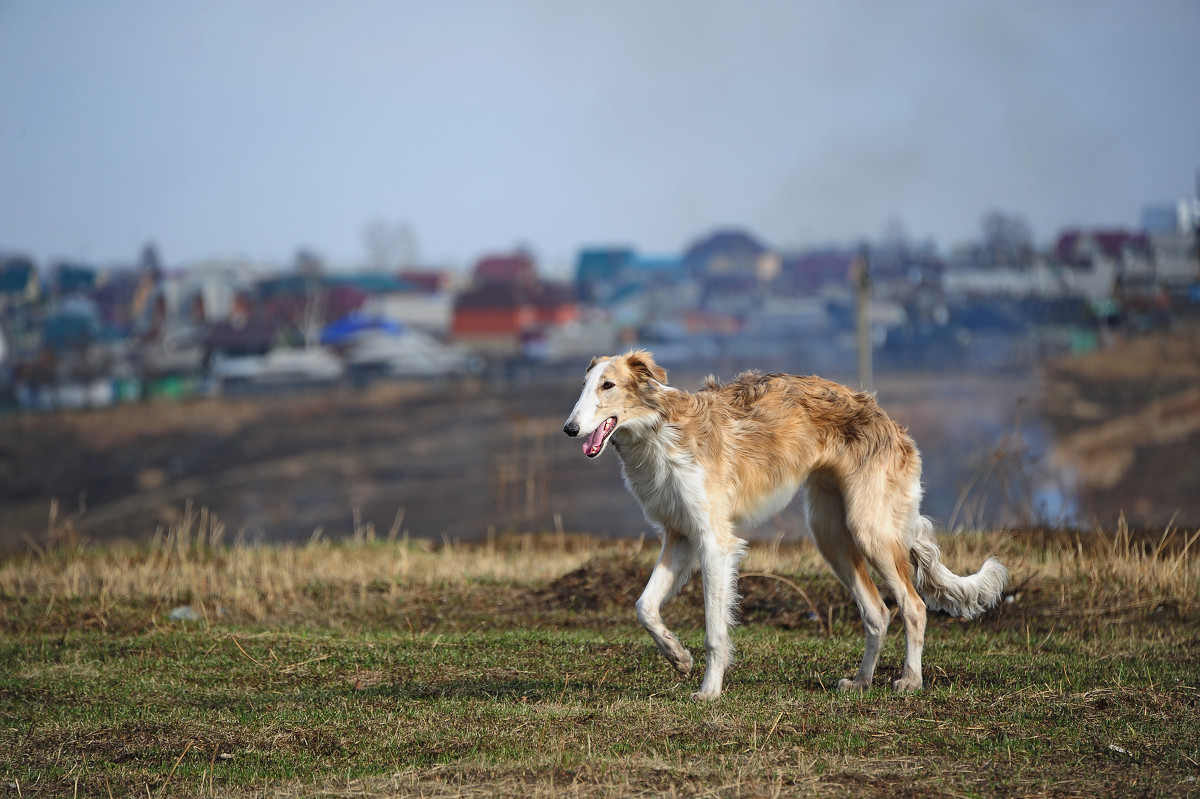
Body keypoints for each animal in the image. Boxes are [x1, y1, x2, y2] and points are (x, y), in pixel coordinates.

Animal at [559, 347, 1003, 695]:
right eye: (582, 385)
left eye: (608, 386)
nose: (569, 428)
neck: (659, 432)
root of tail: (890, 422)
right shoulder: (679, 536)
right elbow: (644, 607)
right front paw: (678, 656)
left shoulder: (714, 541)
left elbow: (715, 629)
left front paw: (709, 691)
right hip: (832, 535)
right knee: (878, 612)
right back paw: (861, 682)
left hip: (870, 530)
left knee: (913, 605)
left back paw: (910, 680)